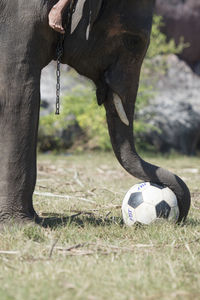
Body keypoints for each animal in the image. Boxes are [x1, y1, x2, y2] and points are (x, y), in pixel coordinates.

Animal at [0, 0, 191, 224]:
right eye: (133, 41)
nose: (179, 216)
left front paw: (34, 220)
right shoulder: (19, 23)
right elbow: (21, 93)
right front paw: (24, 224)